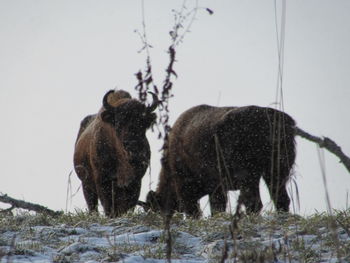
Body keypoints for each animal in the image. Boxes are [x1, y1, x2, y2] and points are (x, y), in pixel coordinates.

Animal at [74, 89, 158, 218]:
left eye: (143, 122)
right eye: (119, 122)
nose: (133, 146)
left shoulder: (136, 181)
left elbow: (128, 204)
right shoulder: (103, 180)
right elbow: (108, 204)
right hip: (86, 183)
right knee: (92, 205)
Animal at [144, 105, 296, 219]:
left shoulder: (195, 188)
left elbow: (206, 208)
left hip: (250, 177)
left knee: (255, 203)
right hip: (274, 173)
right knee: (281, 198)